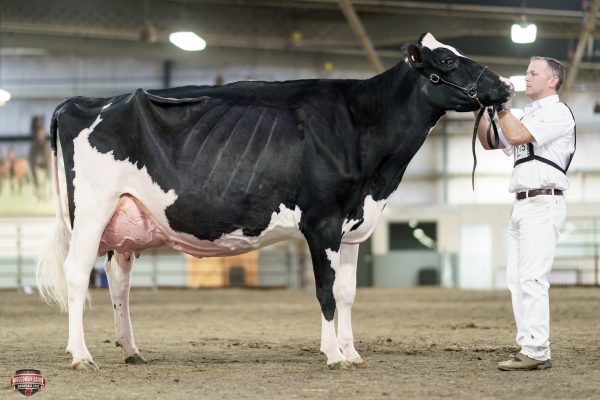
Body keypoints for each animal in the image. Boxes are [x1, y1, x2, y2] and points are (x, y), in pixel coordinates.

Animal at [36, 33, 513, 371]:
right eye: (448, 60)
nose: (506, 85)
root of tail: (82, 101)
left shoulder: (353, 227)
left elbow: (347, 293)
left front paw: (352, 352)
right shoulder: (322, 221)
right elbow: (325, 290)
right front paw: (333, 356)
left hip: (126, 220)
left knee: (118, 281)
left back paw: (132, 351)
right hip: (92, 211)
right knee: (77, 274)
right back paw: (81, 356)